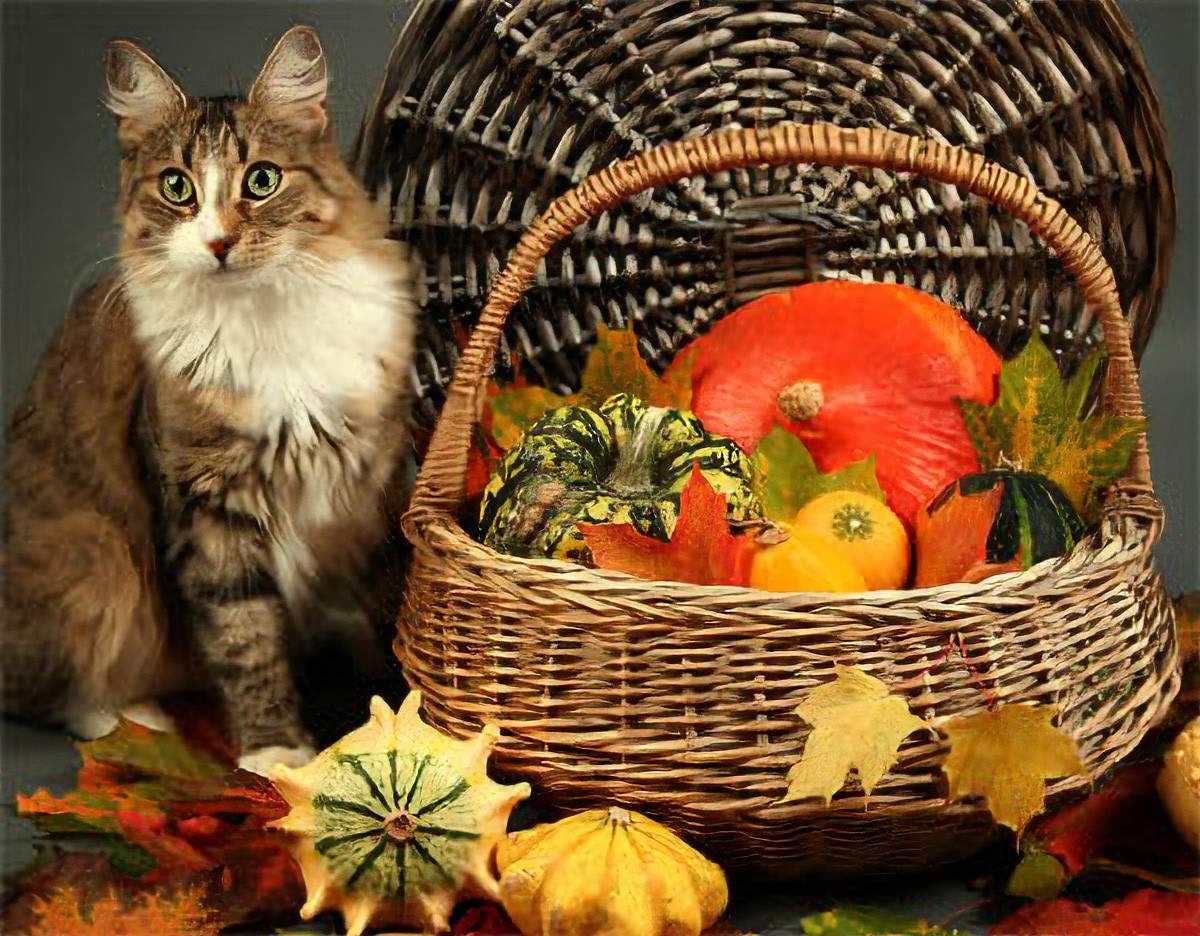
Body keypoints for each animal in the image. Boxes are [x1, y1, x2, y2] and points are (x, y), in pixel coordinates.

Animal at [0, 29, 420, 772]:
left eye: (262, 181)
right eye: (178, 187)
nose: (219, 241)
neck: (267, 317)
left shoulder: (369, 492)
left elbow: (389, 604)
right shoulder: (206, 506)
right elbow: (245, 637)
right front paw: (276, 750)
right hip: (93, 556)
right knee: (47, 691)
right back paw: (130, 717)